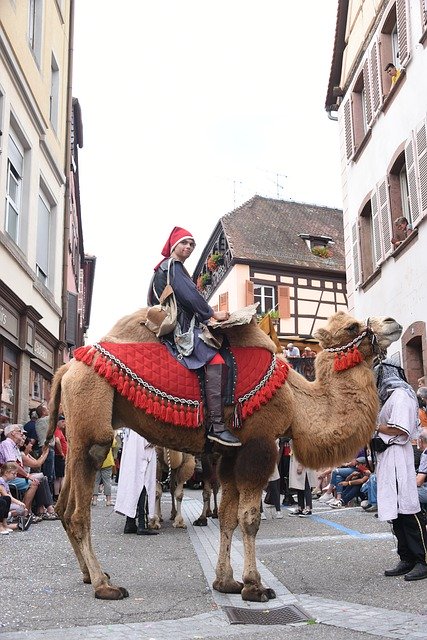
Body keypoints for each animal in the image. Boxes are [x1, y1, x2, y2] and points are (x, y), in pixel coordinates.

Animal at [48, 310, 402, 600]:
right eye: (352, 326)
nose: (392, 322)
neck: (295, 400)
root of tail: (68, 368)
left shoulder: (232, 454)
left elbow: (228, 518)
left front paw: (226, 582)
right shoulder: (259, 445)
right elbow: (249, 518)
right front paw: (255, 586)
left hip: (75, 437)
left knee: (63, 506)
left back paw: (89, 574)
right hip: (93, 426)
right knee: (79, 510)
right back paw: (104, 585)